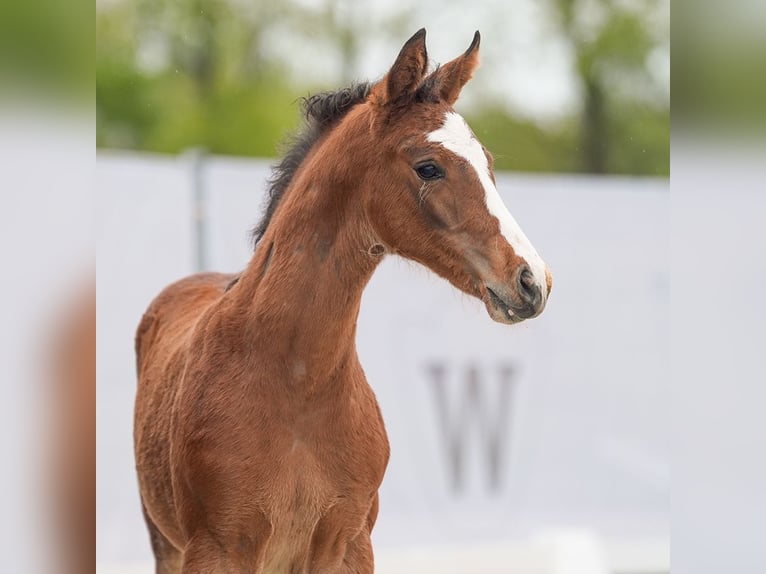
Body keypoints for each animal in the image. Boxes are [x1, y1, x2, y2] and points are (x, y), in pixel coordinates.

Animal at [136, 28, 552, 574]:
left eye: (488, 164)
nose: (532, 281)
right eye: (428, 167)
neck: (298, 384)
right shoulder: (217, 547)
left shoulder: (349, 543)